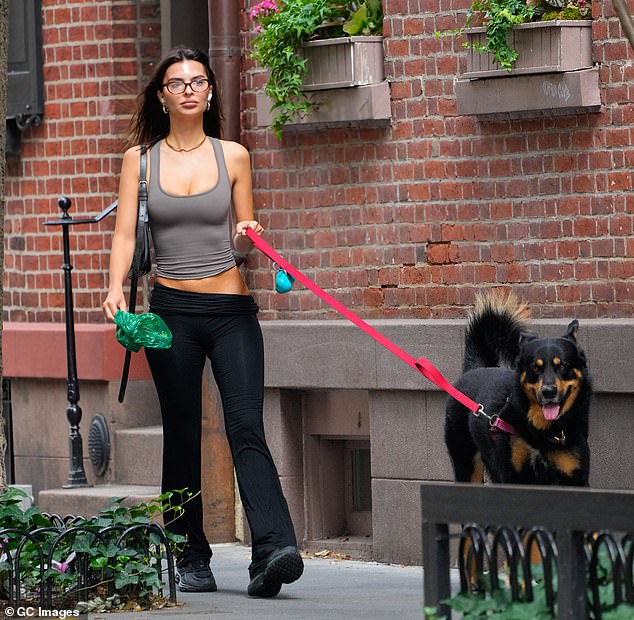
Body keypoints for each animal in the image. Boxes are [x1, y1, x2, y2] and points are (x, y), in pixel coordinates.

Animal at [444, 294, 588, 486]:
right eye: (534, 368)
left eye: (563, 365)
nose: (548, 392)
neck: (541, 432)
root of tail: (474, 369)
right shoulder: (512, 473)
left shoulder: (574, 477)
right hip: (466, 466)